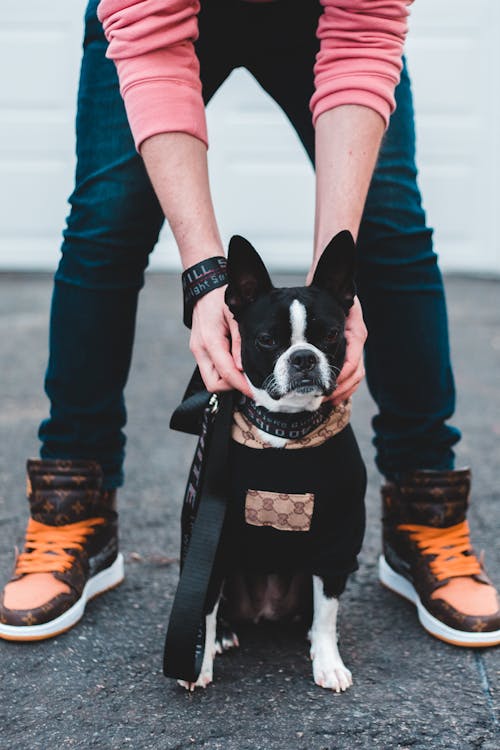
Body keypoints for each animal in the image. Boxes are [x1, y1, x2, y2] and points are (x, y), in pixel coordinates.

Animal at [182, 232, 366, 696]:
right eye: (267, 340)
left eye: (331, 335)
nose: (304, 357)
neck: (286, 428)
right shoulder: (212, 538)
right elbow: (204, 610)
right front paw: (198, 660)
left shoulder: (338, 540)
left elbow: (327, 612)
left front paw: (328, 662)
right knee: (217, 607)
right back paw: (224, 635)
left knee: (316, 609)